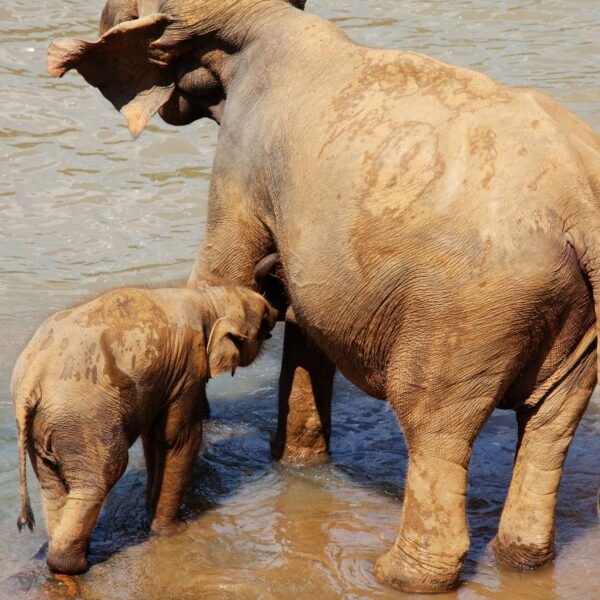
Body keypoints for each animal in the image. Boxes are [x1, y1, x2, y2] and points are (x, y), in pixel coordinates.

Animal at [12, 286, 276, 576]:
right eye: (265, 320)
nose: (277, 313)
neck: (207, 296)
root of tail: (32, 379)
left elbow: (154, 440)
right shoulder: (188, 368)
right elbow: (179, 440)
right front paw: (172, 531)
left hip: (43, 429)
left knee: (52, 484)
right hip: (82, 420)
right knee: (105, 473)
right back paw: (74, 565)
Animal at [48, 0, 600, 592]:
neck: (265, 19)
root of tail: (580, 203)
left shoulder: (242, 160)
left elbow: (221, 273)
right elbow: (306, 326)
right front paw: (296, 463)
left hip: (469, 311)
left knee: (434, 421)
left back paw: (397, 576)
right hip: (573, 318)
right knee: (550, 421)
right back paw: (520, 559)